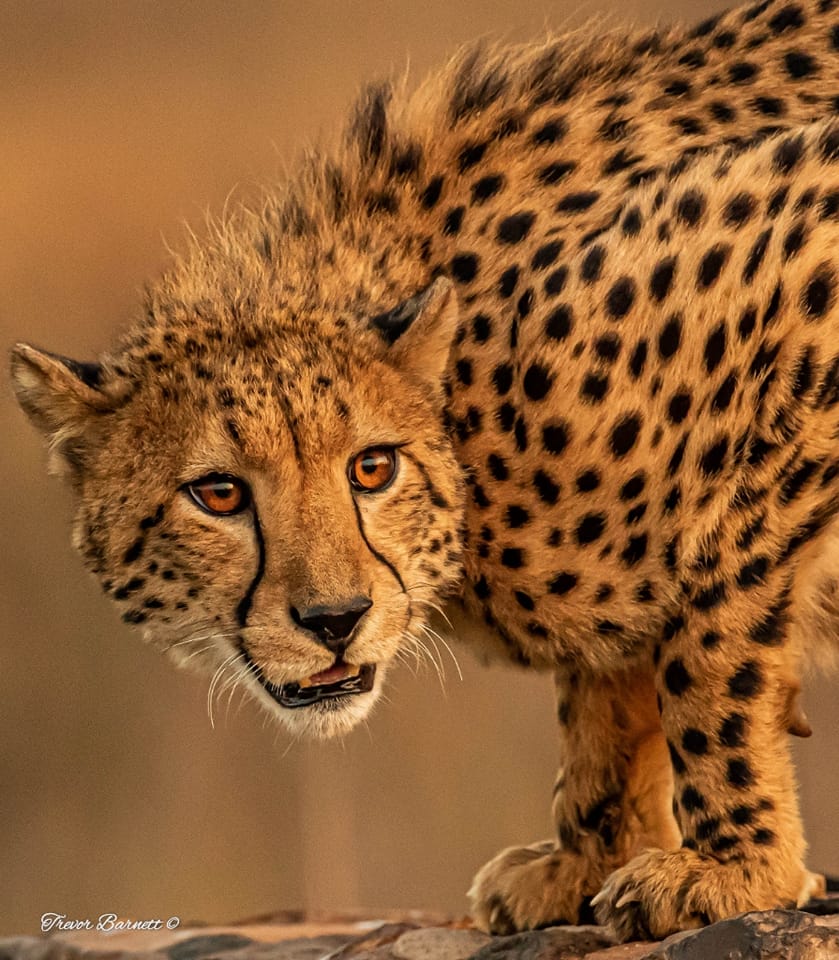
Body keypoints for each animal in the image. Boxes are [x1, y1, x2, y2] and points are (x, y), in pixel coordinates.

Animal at [11, 0, 839, 942]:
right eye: (217, 493)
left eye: (371, 468)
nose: (334, 620)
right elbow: (606, 680)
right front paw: (589, 855)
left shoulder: (802, 256)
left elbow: (709, 641)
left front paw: (740, 870)